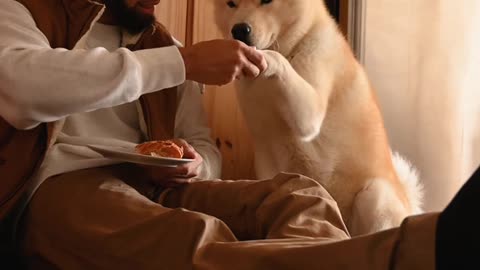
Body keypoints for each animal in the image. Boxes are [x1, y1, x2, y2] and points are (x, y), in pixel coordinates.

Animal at [212, 0, 422, 236]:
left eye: (267, 1)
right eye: (231, 4)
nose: (239, 30)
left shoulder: (309, 115)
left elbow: (278, 60)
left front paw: (263, 57)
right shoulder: (265, 151)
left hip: (374, 194)